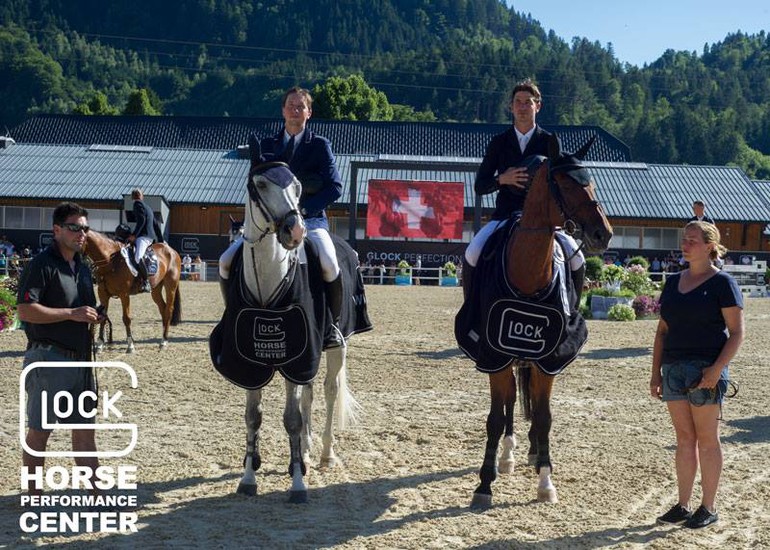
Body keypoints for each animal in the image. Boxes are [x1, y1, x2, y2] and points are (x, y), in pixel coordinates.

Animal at [207, 135, 368, 504]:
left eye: (297, 186)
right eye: (260, 184)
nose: (295, 231)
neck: (267, 280)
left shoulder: (297, 355)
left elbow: (292, 419)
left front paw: (297, 485)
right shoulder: (251, 360)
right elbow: (253, 416)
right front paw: (249, 476)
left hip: (335, 346)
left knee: (328, 391)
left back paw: (323, 455)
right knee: (308, 393)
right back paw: (305, 452)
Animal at [456, 136, 612, 512]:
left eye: (591, 183)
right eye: (567, 185)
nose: (603, 234)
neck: (527, 272)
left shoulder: (548, 357)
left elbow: (544, 417)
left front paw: (546, 481)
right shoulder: (495, 355)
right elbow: (496, 417)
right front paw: (484, 484)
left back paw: (531, 452)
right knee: (511, 401)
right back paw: (508, 455)